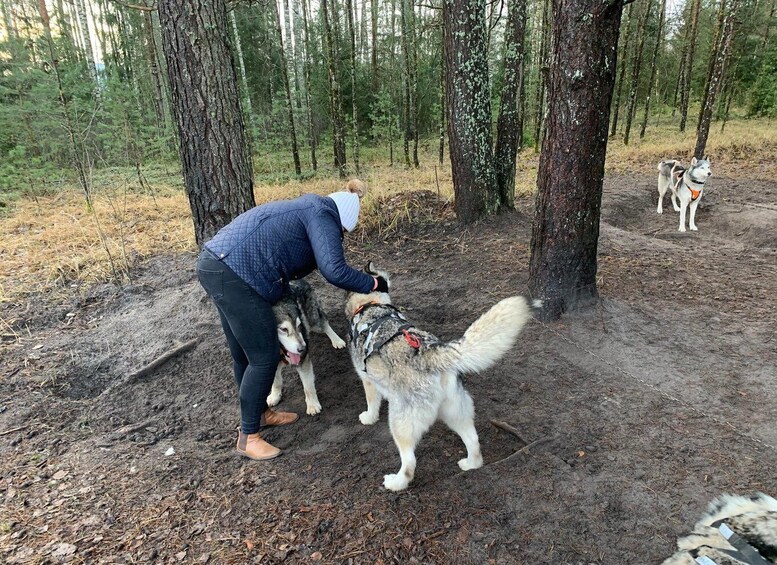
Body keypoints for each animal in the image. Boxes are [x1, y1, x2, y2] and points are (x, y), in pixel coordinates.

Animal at [268, 278, 344, 414]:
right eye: (283, 329)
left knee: (324, 323)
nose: (303, 348)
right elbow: (275, 381)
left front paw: (312, 404)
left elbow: (308, 386)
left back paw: (337, 340)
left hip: (313, 319)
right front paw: (275, 395)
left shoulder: (304, 361)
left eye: (299, 326)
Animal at [346, 262, 540, 492]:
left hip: (400, 423)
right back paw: (471, 464)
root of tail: (433, 354)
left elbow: (371, 402)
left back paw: (396, 482)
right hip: (456, 412)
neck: (370, 305)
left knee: (409, 463)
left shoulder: (367, 380)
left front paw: (368, 417)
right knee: (473, 440)